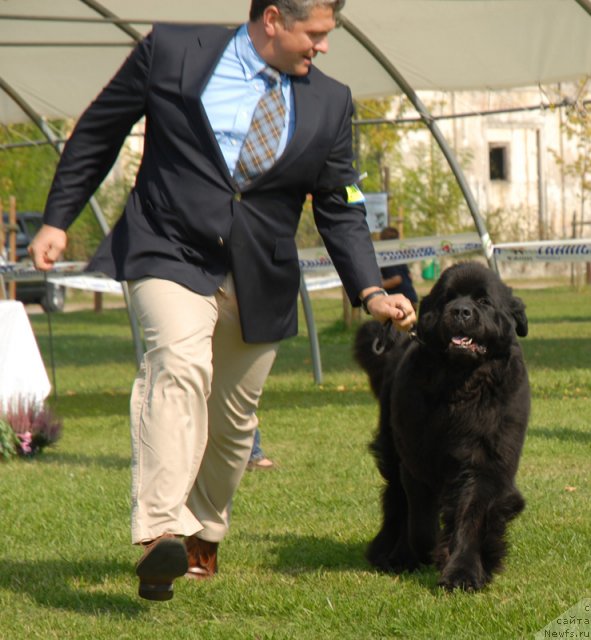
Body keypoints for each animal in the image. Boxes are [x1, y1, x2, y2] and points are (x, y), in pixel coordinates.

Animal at [356, 260, 532, 592]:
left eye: (483, 301)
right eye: (446, 300)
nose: (460, 311)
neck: (460, 385)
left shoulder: (484, 461)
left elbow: (471, 516)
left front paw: (464, 572)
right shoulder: (416, 459)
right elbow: (420, 521)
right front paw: (428, 552)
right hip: (392, 448)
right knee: (395, 501)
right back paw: (392, 553)